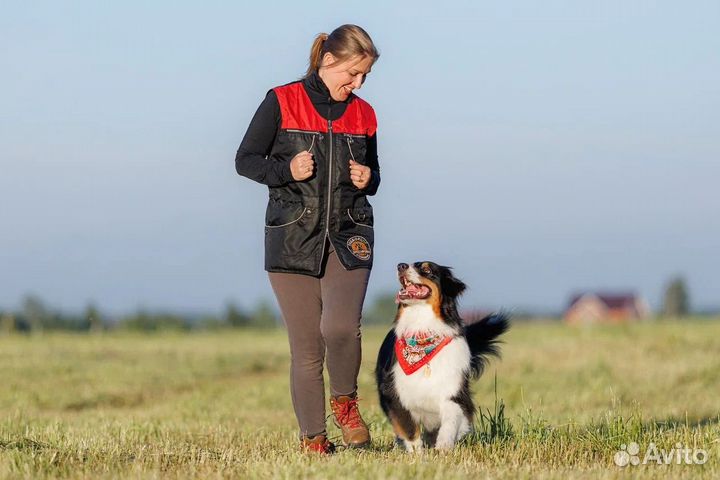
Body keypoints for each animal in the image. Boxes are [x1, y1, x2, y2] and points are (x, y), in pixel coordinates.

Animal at [374, 260, 510, 452]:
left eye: (427, 269)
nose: (401, 265)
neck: (422, 330)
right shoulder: (394, 393)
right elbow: (409, 428)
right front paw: (417, 453)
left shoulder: (454, 392)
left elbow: (451, 420)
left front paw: (444, 446)